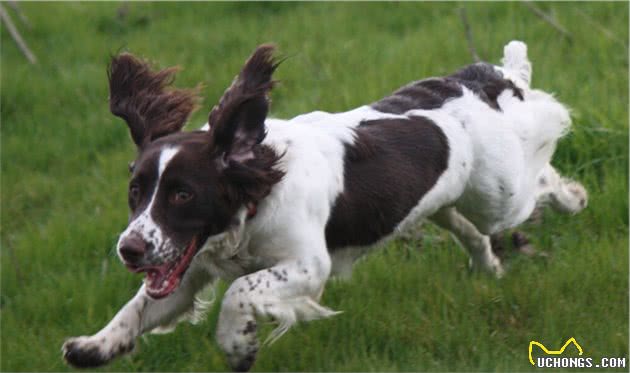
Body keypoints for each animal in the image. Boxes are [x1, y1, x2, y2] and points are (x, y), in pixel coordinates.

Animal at [63, 41, 588, 370]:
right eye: (135, 191)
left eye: (182, 194)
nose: (129, 250)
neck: (257, 193)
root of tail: (482, 78)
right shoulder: (188, 271)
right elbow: (137, 309)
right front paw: (92, 347)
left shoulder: (308, 265)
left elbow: (241, 290)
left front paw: (238, 346)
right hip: (444, 202)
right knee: (472, 231)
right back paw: (489, 269)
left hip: (500, 193)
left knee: (538, 173)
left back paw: (572, 197)